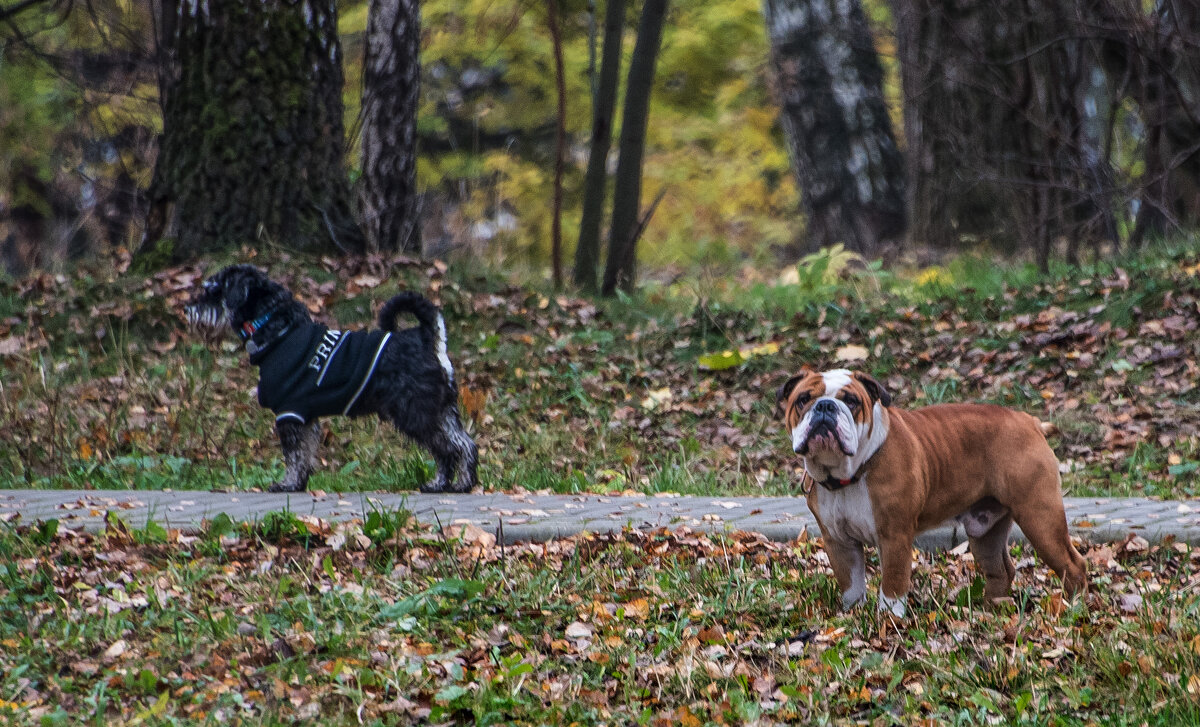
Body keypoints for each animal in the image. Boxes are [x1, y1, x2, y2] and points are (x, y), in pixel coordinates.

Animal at [184, 265, 475, 491]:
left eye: (213, 290)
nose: (187, 308)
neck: (277, 330)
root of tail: (427, 337)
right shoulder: (305, 417)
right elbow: (305, 454)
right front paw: (298, 484)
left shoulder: (289, 414)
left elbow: (294, 455)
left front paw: (287, 484)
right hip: (442, 411)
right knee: (466, 444)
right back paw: (458, 483)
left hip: (416, 413)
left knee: (448, 449)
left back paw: (446, 484)